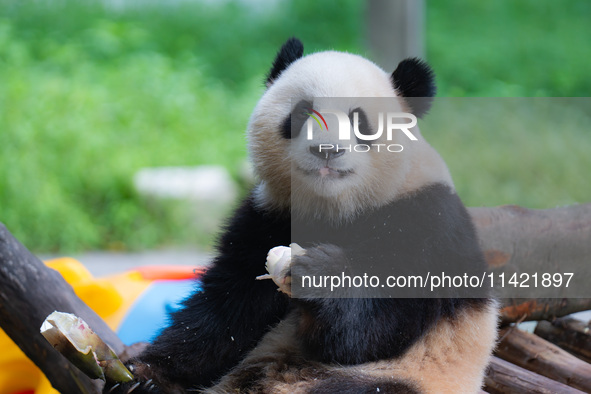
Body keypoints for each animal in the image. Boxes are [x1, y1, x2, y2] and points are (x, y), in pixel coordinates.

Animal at [107, 37, 500, 394]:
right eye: (301, 113)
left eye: (360, 121)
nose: (326, 149)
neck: (334, 209)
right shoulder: (269, 216)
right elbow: (226, 311)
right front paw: (146, 377)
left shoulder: (427, 222)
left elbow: (372, 329)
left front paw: (317, 273)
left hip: (407, 378)